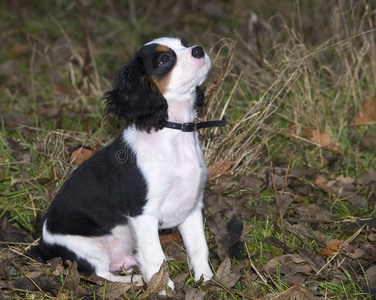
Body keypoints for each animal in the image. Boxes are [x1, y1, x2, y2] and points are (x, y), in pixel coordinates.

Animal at [29, 37, 214, 288]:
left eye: (183, 44)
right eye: (165, 59)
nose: (198, 50)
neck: (172, 132)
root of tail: (43, 245)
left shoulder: (192, 206)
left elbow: (198, 247)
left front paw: (208, 281)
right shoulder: (142, 214)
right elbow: (156, 258)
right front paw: (163, 289)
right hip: (87, 248)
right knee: (99, 275)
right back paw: (135, 281)